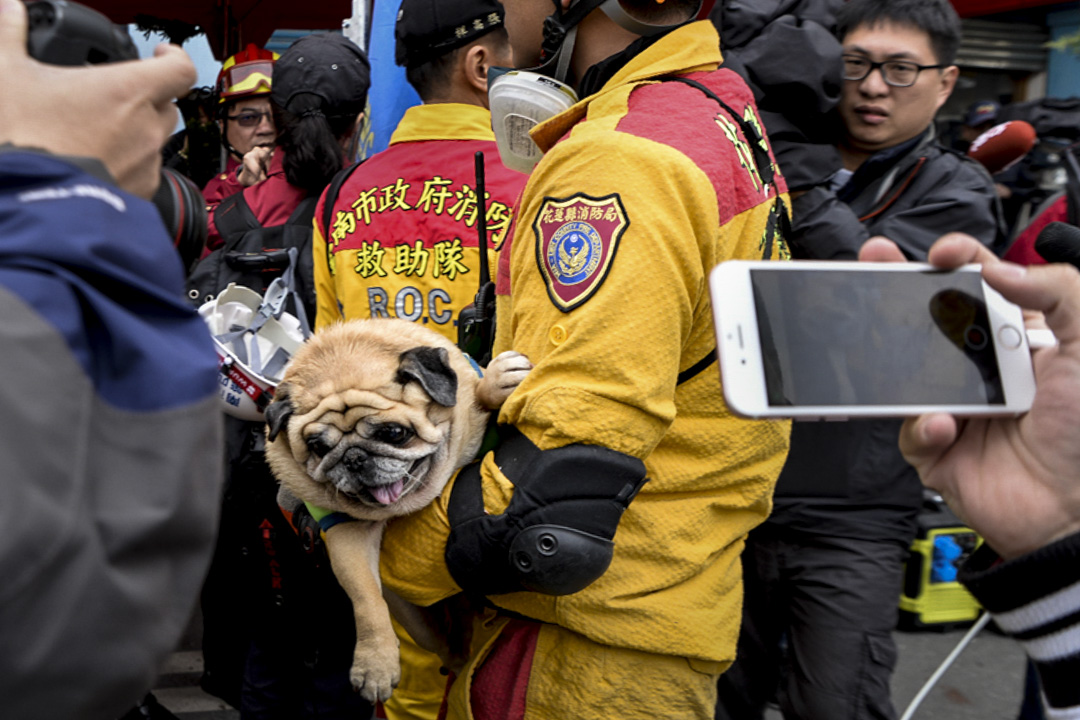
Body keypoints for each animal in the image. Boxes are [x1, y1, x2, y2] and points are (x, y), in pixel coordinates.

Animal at [263, 319, 529, 703]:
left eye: (394, 433)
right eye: (317, 447)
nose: (354, 458)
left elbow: (473, 392)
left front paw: (494, 382)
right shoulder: (349, 532)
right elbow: (365, 598)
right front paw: (374, 666)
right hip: (416, 621)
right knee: (442, 638)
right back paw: (458, 661)